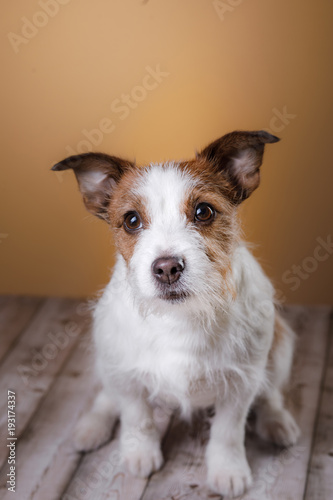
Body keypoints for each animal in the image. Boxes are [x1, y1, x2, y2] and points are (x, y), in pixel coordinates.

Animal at [52, 131, 300, 498]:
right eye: (131, 220)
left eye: (203, 211)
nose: (167, 268)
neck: (181, 317)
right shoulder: (126, 375)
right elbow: (136, 416)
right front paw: (140, 454)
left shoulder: (240, 383)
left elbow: (228, 431)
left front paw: (228, 470)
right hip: (106, 357)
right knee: (107, 396)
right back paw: (92, 426)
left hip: (280, 346)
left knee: (270, 393)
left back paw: (277, 422)